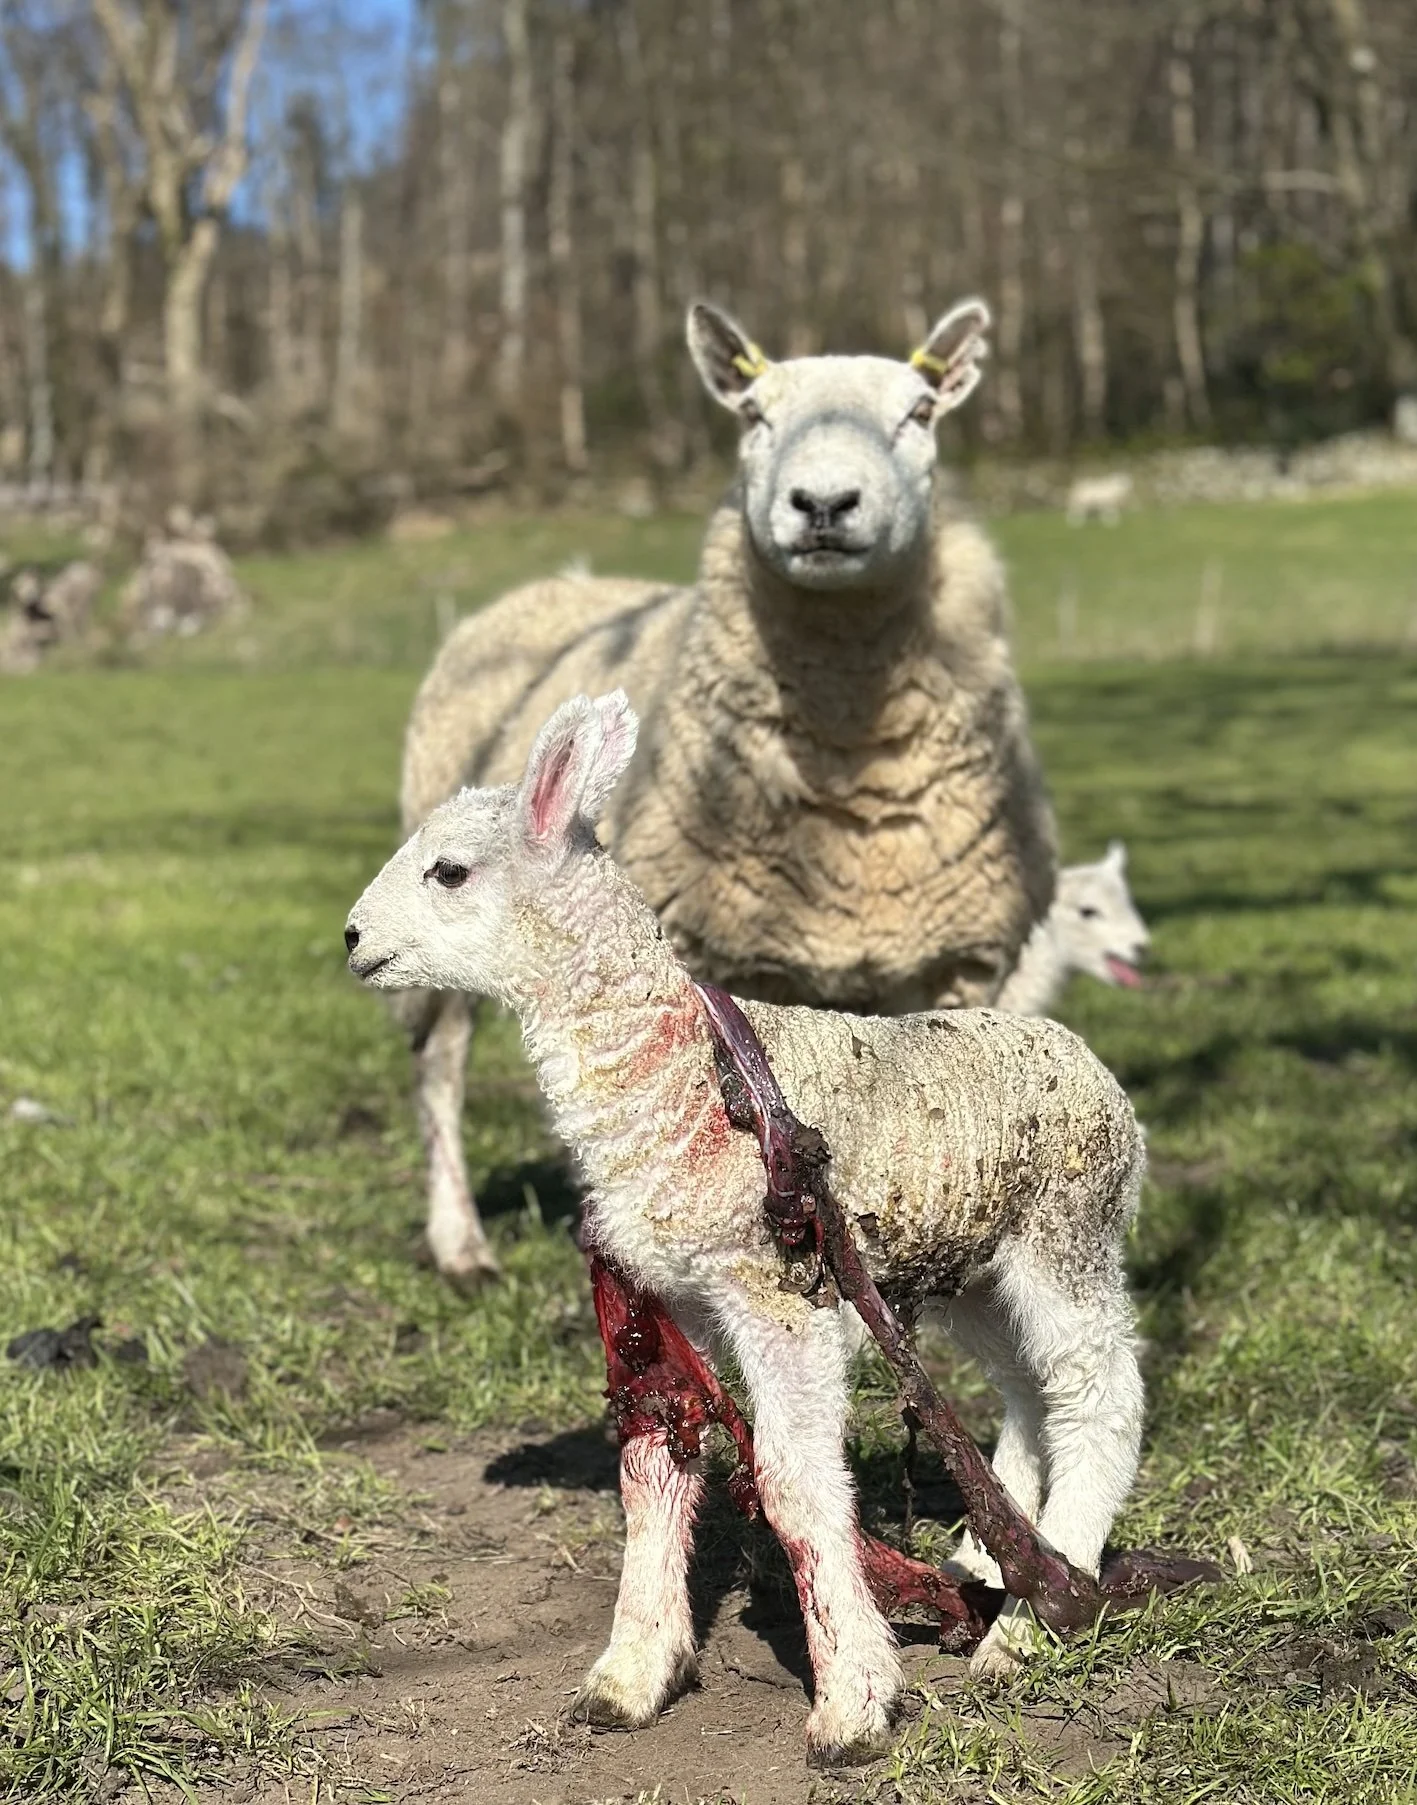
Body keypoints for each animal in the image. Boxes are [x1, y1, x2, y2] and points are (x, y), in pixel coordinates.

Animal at [394, 297, 1057, 1286]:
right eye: (753, 414)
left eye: (918, 412)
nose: (823, 504)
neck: (850, 799)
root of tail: (554, 583)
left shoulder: (948, 970)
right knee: (440, 1065)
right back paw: (461, 1243)